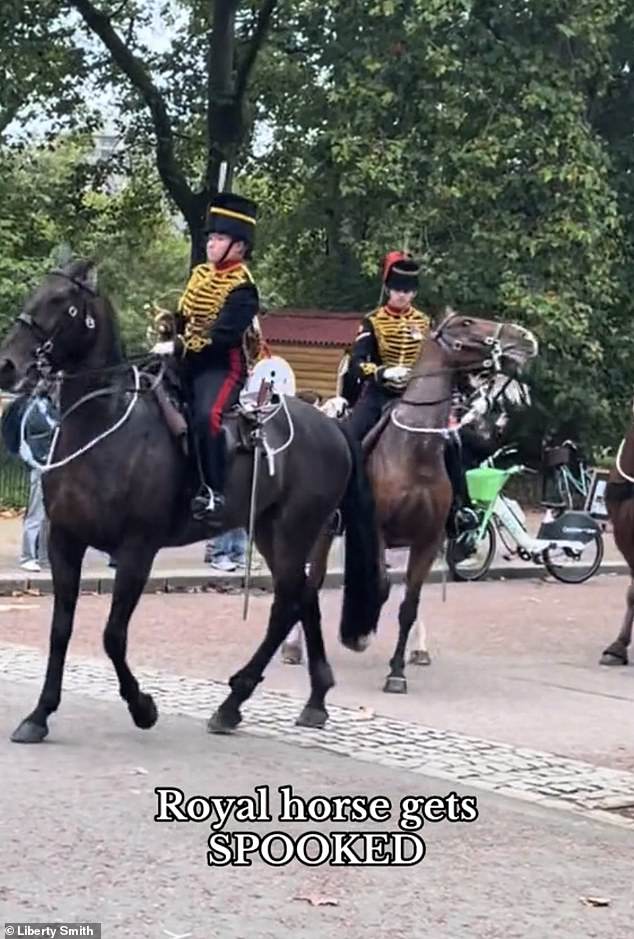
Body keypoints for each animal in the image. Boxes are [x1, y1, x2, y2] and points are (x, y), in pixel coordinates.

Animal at [0, 258, 380, 740]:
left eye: (62, 302)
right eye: (37, 291)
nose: (7, 364)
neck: (102, 425)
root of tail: (332, 425)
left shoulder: (137, 549)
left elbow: (112, 635)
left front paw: (142, 707)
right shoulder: (65, 541)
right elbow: (60, 630)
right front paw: (40, 714)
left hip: (294, 531)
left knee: (287, 605)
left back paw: (233, 701)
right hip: (274, 533)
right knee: (302, 597)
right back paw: (314, 698)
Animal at [280, 312, 532, 688]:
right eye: (467, 323)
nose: (526, 339)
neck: (415, 454)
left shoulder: (429, 539)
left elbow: (409, 603)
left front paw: (398, 670)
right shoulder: (377, 532)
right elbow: (381, 587)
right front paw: (359, 634)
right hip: (325, 531)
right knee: (314, 580)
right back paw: (295, 647)